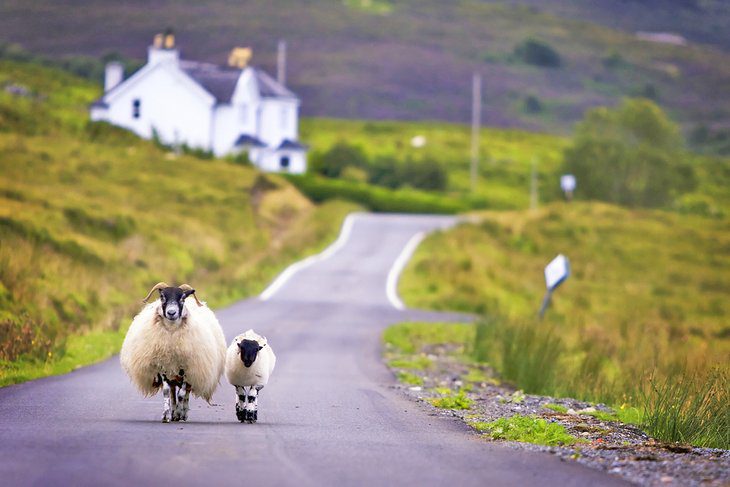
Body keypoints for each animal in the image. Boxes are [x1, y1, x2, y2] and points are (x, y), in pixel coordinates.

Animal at [119, 282, 225, 424]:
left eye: (182, 298)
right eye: (162, 297)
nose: (171, 312)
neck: (171, 335)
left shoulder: (187, 368)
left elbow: (182, 394)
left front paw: (180, 413)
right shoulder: (163, 366)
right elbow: (166, 392)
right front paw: (166, 415)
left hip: (192, 371)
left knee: (185, 393)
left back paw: (183, 413)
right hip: (173, 373)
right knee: (173, 392)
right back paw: (174, 412)